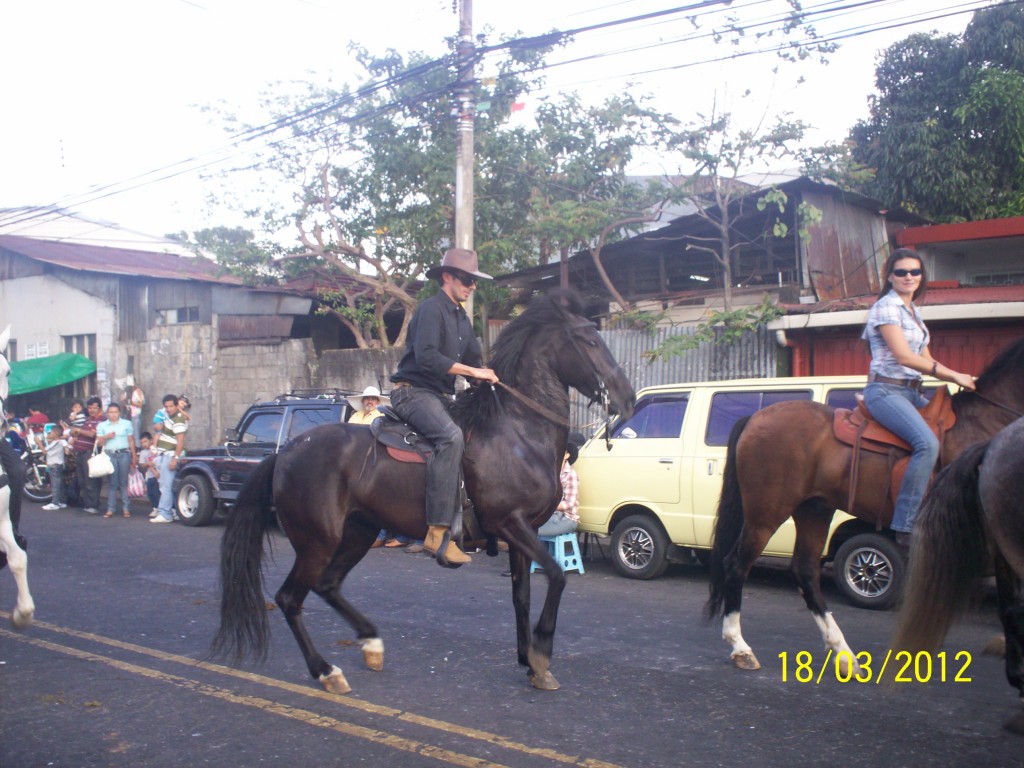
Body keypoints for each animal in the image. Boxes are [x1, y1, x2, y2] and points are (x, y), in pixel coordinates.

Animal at [212, 290, 634, 696]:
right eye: (590, 340)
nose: (627, 398)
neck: (517, 433)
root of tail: (285, 452)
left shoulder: (523, 532)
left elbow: (522, 594)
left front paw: (529, 661)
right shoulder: (509, 523)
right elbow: (557, 577)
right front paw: (542, 652)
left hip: (358, 532)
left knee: (327, 586)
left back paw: (371, 643)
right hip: (318, 541)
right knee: (290, 598)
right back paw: (327, 671)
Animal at [708, 339, 1024, 675]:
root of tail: (756, 418)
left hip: (814, 510)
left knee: (805, 571)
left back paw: (843, 654)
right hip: (766, 514)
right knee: (736, 564)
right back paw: (741, 647)